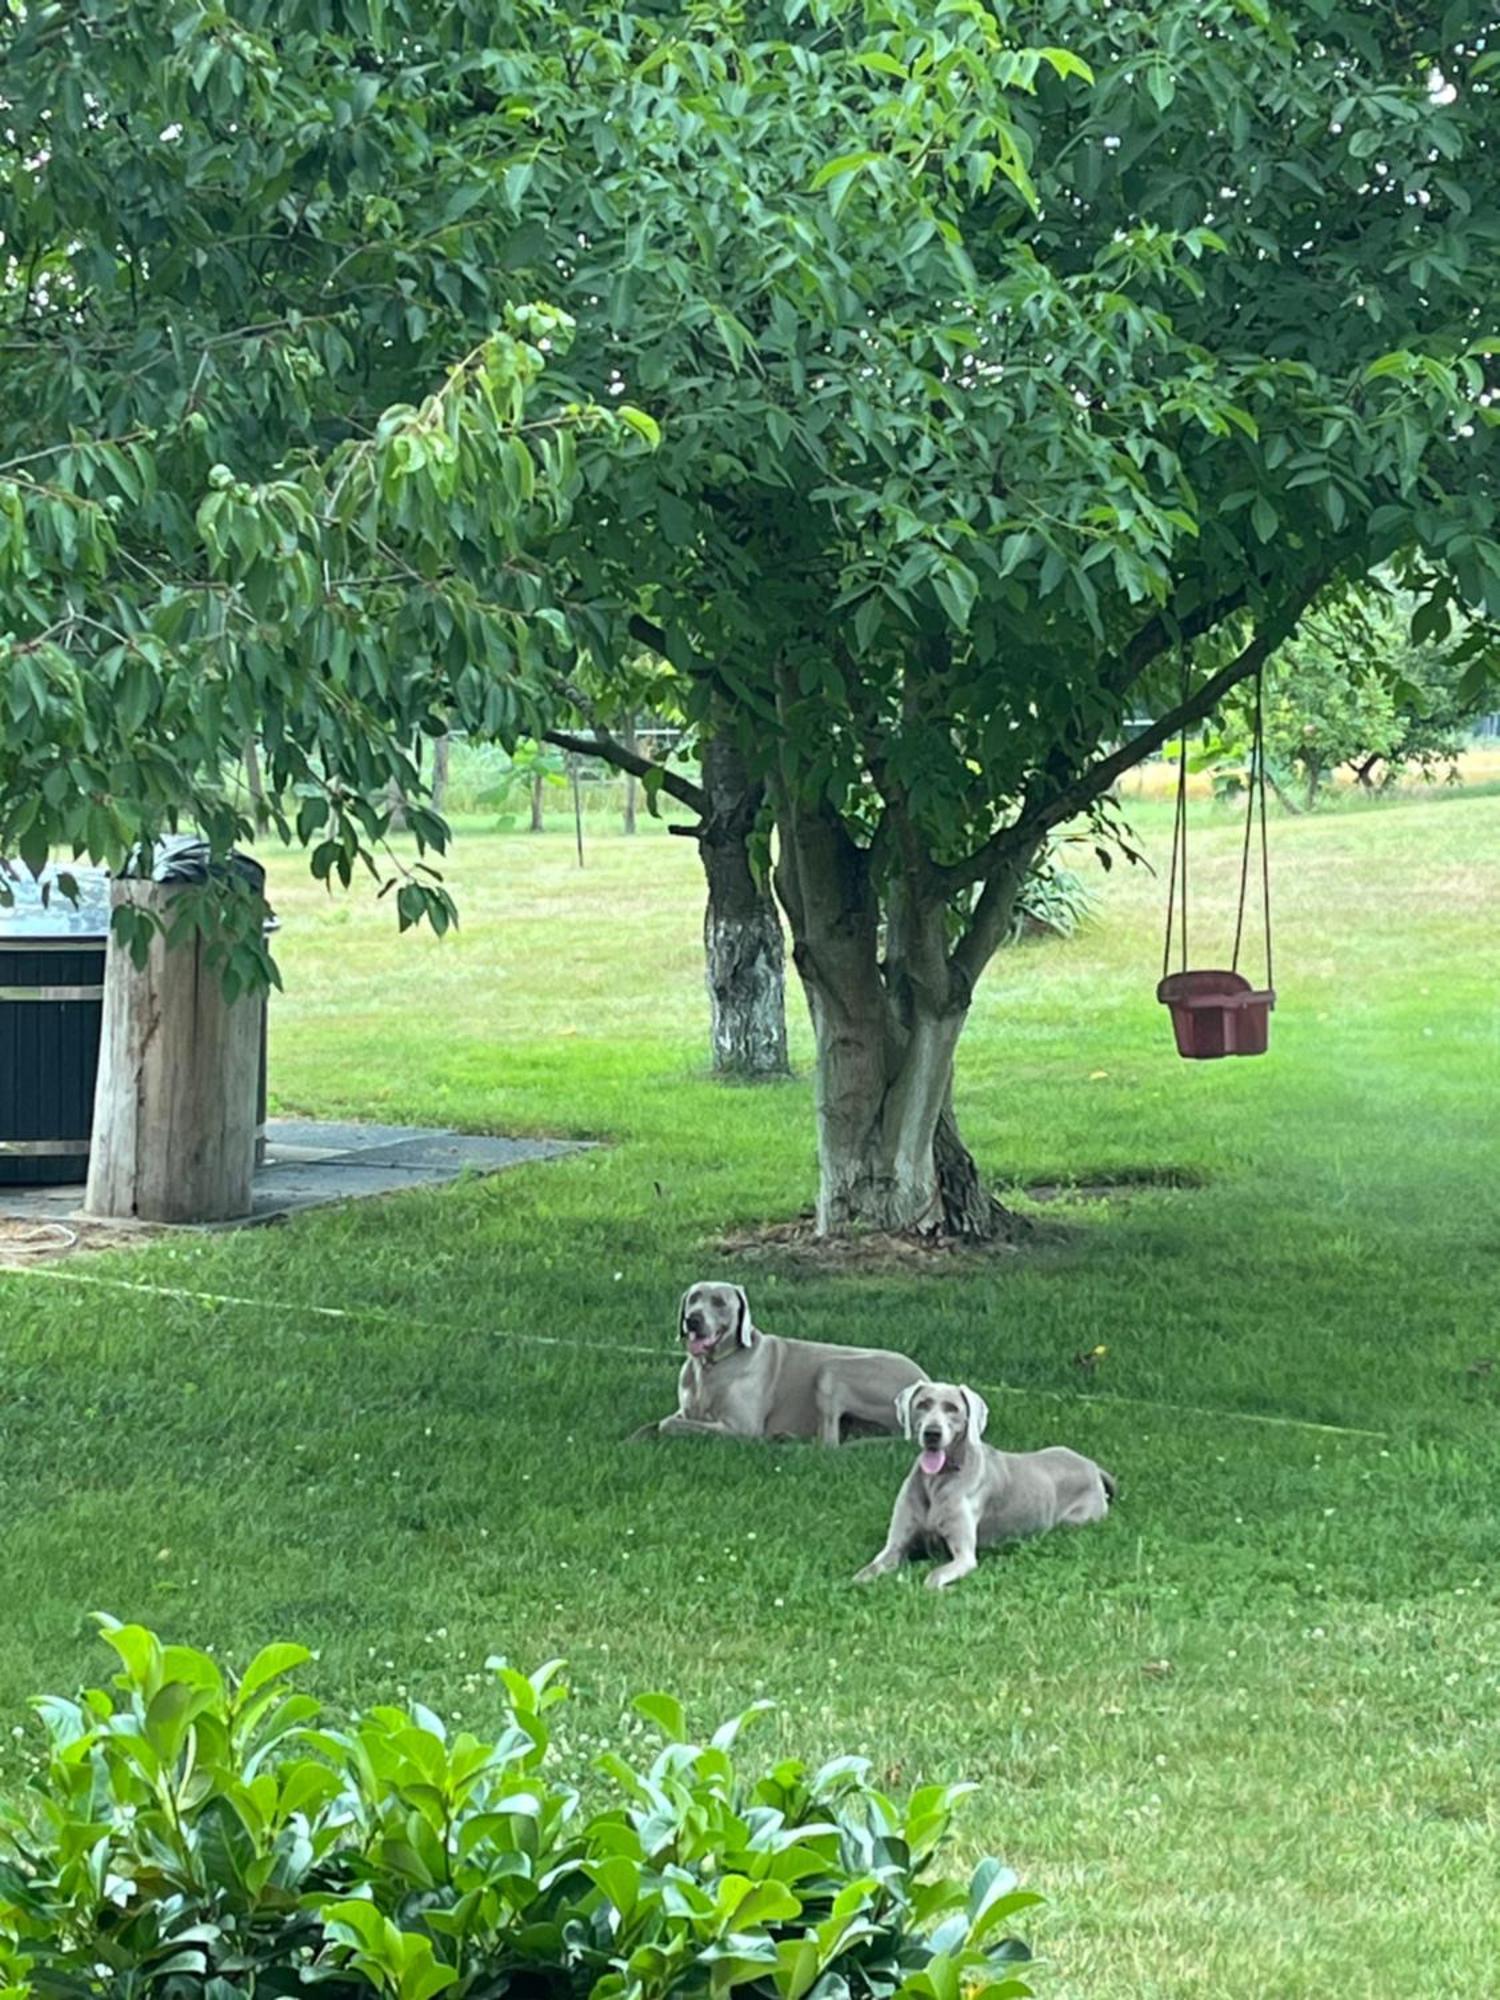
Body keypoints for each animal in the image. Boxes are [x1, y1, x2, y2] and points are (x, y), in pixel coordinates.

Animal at [628, 1280, 924, 1440]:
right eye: (693, 1298)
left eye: (719, 1302)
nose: (692, 1320)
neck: (710, 1367)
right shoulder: (687, 1410)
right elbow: (655, 1423)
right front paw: (629, 1440)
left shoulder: (741, 1428)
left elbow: (669, 1424)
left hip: (832, 1368)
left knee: (829, 1445)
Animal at [856, 1376, 1120, 1592]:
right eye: (922, 1404)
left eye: (952, 1408)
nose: (932, 1433)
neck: (937, 1480)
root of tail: (1092, 1464)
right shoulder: (895, 1546)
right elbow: (865, 1572)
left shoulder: (964, 1557)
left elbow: (932, 1578)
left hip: (1075, 1520)